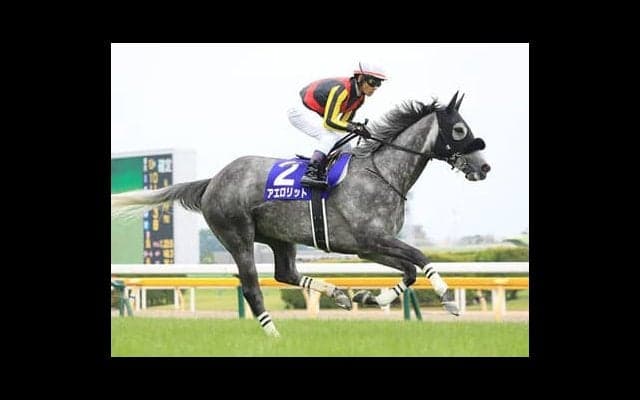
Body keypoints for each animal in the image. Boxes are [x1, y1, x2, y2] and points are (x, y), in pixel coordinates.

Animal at [111, 92, 490, 337]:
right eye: (459, 130)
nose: (484, 166)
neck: (381, 173)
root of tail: (212, 181)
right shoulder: (371, 239)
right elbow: (421, 257)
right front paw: (448, 300)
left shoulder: (368, 247)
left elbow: (410, 271)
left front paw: (369, 297)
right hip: (238, 237)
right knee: (252, 288)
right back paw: (274, 335)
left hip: (279, 238)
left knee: (285, 273)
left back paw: (338, 294)